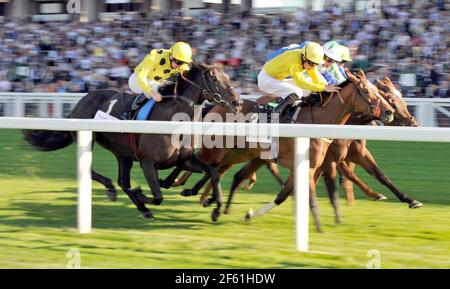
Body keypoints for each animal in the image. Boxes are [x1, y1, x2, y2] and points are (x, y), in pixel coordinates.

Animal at [23, 62, 243, 220]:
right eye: (213, 78)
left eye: (228, 77)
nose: (238, 102)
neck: (173, 118)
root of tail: (80, 103)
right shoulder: (147, 162)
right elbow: (158, 196)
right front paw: (142, 194)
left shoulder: (185, 159)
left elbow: (212, 171)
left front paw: (216, 206)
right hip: (89, 138)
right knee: (93, 172)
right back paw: (115, 191)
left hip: (124, 154)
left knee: (123, 181)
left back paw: (139, 206)